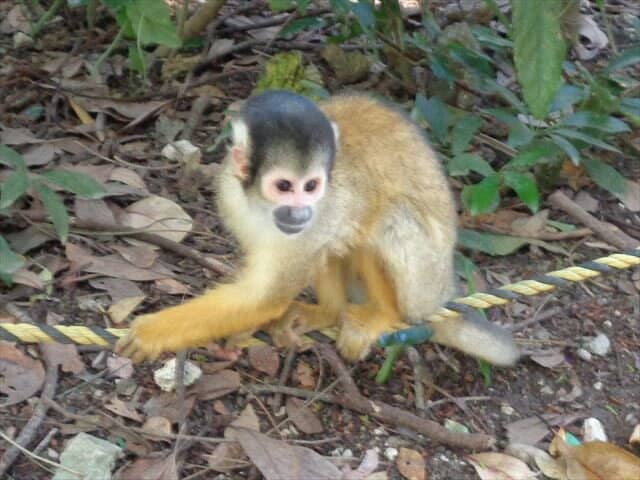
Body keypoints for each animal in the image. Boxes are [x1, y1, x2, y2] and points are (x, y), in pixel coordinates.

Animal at [116, 90, 520, 366]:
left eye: (311, 186)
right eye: (284, 186)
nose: (300, 213)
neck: (261, 207)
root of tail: (443, 292)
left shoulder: (322, 212)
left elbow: (267, 296)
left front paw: (152, 332)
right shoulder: (230, 193)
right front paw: (238, 330)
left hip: (423, 285)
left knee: (384, 223)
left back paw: (385, 315)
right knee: (338, 243)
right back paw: (328, 312)